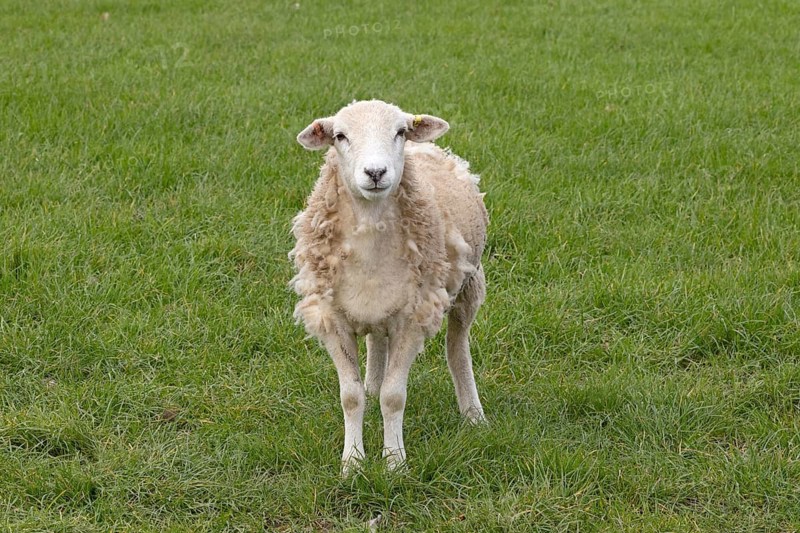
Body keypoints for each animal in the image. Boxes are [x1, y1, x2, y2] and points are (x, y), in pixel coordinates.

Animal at [291, 100, 488, 473]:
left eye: (400, 132)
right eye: (340, 136)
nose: (376, 172)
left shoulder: (412, 318)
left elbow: (394, 397)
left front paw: (394, 462)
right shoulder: (332, 319)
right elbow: (350, 397)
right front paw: (352, 462)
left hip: (470, 284)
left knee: (457, 348)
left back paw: (473, 414)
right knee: (375, 342)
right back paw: (372, 384)